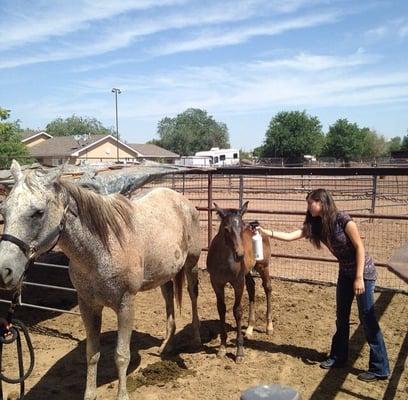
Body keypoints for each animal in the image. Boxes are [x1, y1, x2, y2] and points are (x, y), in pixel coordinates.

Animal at [0, 160, 202, 400]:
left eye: (38, 213)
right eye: (4, 210)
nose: (4, 271)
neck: (102, 248)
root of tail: (181, 200)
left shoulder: (126, 305)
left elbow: (121, 355)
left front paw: (122, 395)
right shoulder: (88, 306)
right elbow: (92, 353)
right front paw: (90, 394)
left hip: (191, 265)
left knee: (192, 294)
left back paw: (196, 339)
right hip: (165, 274)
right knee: (169, 298)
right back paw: (165, 347)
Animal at [207, 200, 270, 362]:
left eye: (242, 228)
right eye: (226, 229)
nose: (240, 255)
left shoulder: (238, 283)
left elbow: (237, 311)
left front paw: (239, 351)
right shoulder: (216, 283)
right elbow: (221, 309)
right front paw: (222, 347)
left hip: (263, 266)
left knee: (267, 288)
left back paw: (269, 326)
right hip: (247, 273)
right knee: (252, 288)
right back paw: (249, 329)